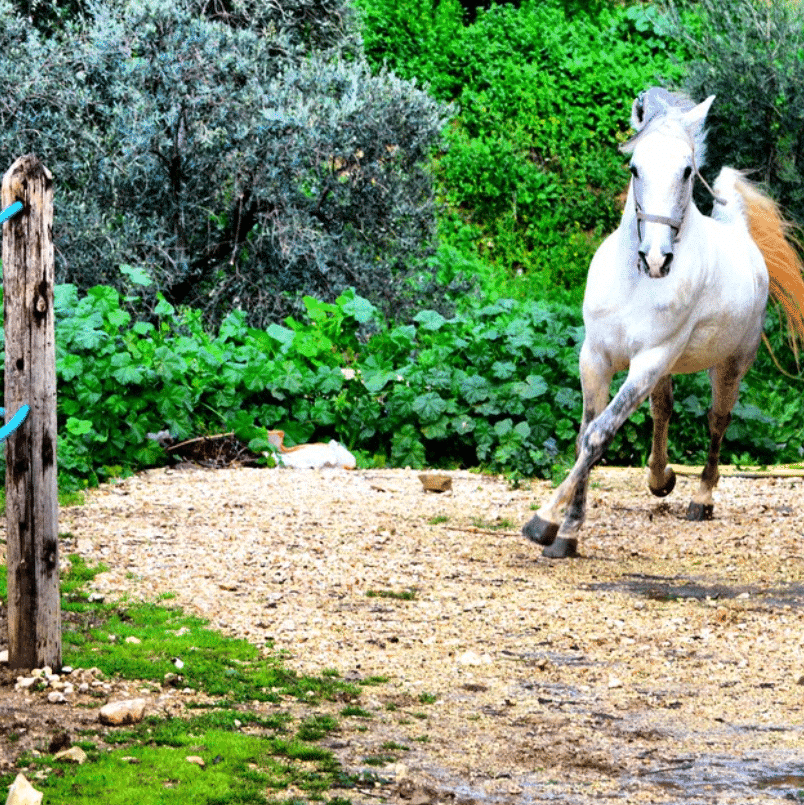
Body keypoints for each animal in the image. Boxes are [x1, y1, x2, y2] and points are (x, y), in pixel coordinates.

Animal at [524, 91, 804, 556]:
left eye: (687, 170)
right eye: (635, 168)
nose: (656, 259)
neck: (636, 283)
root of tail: (741, 237)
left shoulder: (650, 360)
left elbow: (599, 435)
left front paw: (552, 526)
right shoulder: (595, 359)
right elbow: (586, 435)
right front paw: (559, 528)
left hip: (730, 364)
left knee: (717, 419)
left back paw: (701, 498)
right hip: (668, 369)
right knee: (664, 409)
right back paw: (661, 478)